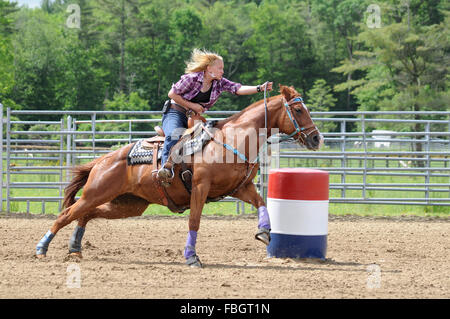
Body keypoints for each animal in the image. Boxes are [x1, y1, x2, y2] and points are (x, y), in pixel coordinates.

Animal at [36, 85, 324, 268]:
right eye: (299, 110)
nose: (316, 139)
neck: (232, 140)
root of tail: (103, 160)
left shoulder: (240, 188)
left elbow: (262, 203)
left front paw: (264, 232)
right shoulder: (200, 187)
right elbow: (194, 222)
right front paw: (191, 257)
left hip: (128, 204)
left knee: (86, 214)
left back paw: (75, 247)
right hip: (98, 192)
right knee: (67, 213)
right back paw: (41, 248)